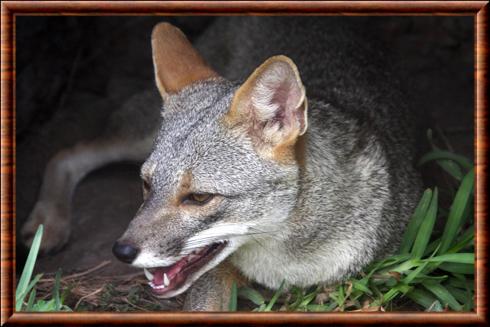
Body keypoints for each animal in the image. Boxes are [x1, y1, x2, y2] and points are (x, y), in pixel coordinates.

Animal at [21, 18, 422, 312]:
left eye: (199, 198)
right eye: (147, 185)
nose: (122, 252)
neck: (285, 264)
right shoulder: (215, 277)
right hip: (135, 137)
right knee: (68, 152)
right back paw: (48, 221)